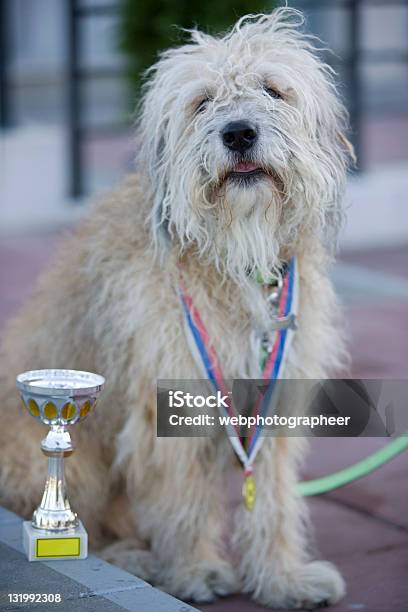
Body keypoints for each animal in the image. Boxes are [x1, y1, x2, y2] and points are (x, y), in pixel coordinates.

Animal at [0, 8, 352, 608]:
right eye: (203, 102)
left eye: (272, 90)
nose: (239, 133)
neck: (234, 254)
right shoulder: (167, 400)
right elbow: (181, 492)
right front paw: (193, 569)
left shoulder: (275, 397)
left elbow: (274, 499)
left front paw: (282, 576)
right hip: (69, 460)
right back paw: (134, 556)